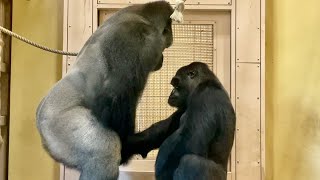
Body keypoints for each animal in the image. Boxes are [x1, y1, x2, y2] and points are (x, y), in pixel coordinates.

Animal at [36, 1, 174, 180]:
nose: (162, 59)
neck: (143, 16)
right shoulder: (133, 38)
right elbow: (112, 99)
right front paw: (133, 142)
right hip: (56, 123)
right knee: (104, 151)